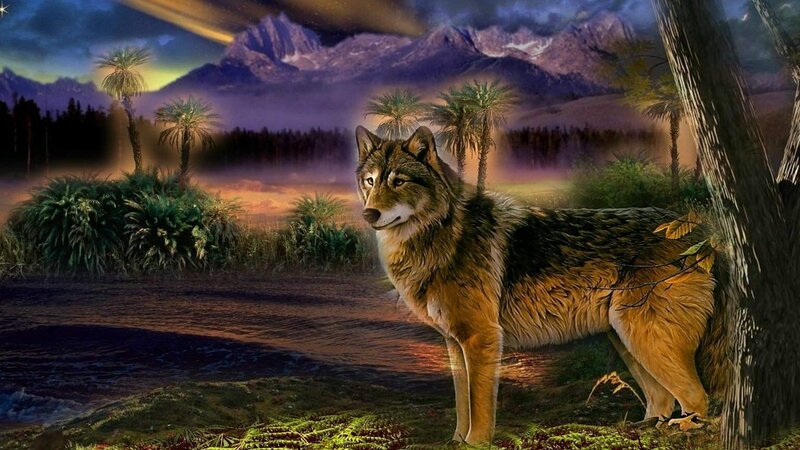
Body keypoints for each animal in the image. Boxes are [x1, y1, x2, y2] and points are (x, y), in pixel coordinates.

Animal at [355, 125, 728, 444]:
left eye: (398, 181)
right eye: (370, 181)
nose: (369, 214)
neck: (442, 232)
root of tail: (700, 235)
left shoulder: (482, 338)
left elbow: (479, 406)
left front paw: (476, 443)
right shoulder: (454, 342)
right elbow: (462, 403)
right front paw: (457, 440)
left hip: (646, 338)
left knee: (697, 397)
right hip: (628, 340)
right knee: (662, 397)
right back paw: (645, 428)